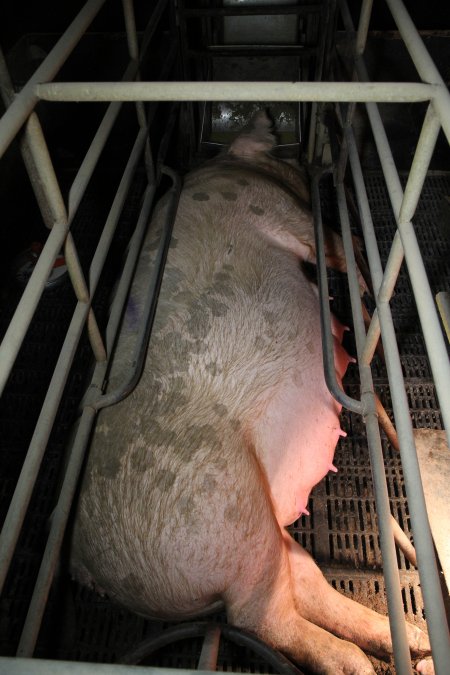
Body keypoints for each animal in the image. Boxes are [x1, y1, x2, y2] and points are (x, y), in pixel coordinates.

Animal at [71, 113, 432, 672]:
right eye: (280, 148)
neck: (234, 166)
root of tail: (89, 566)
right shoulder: (282, 211)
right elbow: (330, 239)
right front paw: (358, 278)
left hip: (265, 533)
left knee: (305, 584)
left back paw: (411, 640)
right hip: (233, 527)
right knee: (261, 618)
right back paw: (356, 660)